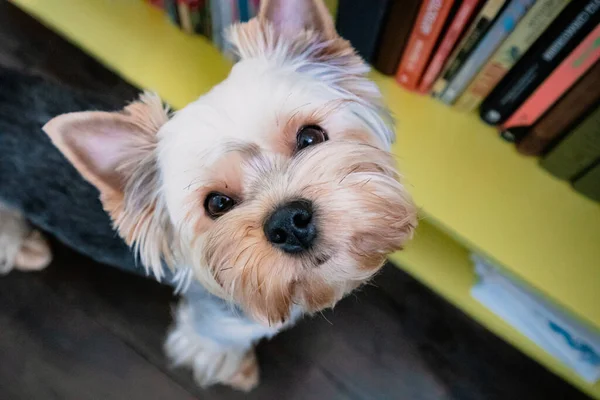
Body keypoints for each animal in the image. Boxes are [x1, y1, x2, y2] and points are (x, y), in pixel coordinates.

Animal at [0, 0, 418, 390]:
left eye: (311, 137)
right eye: (217, 204)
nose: (288, 222)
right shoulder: (212, 329)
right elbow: (217, 349)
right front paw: (242, 372)